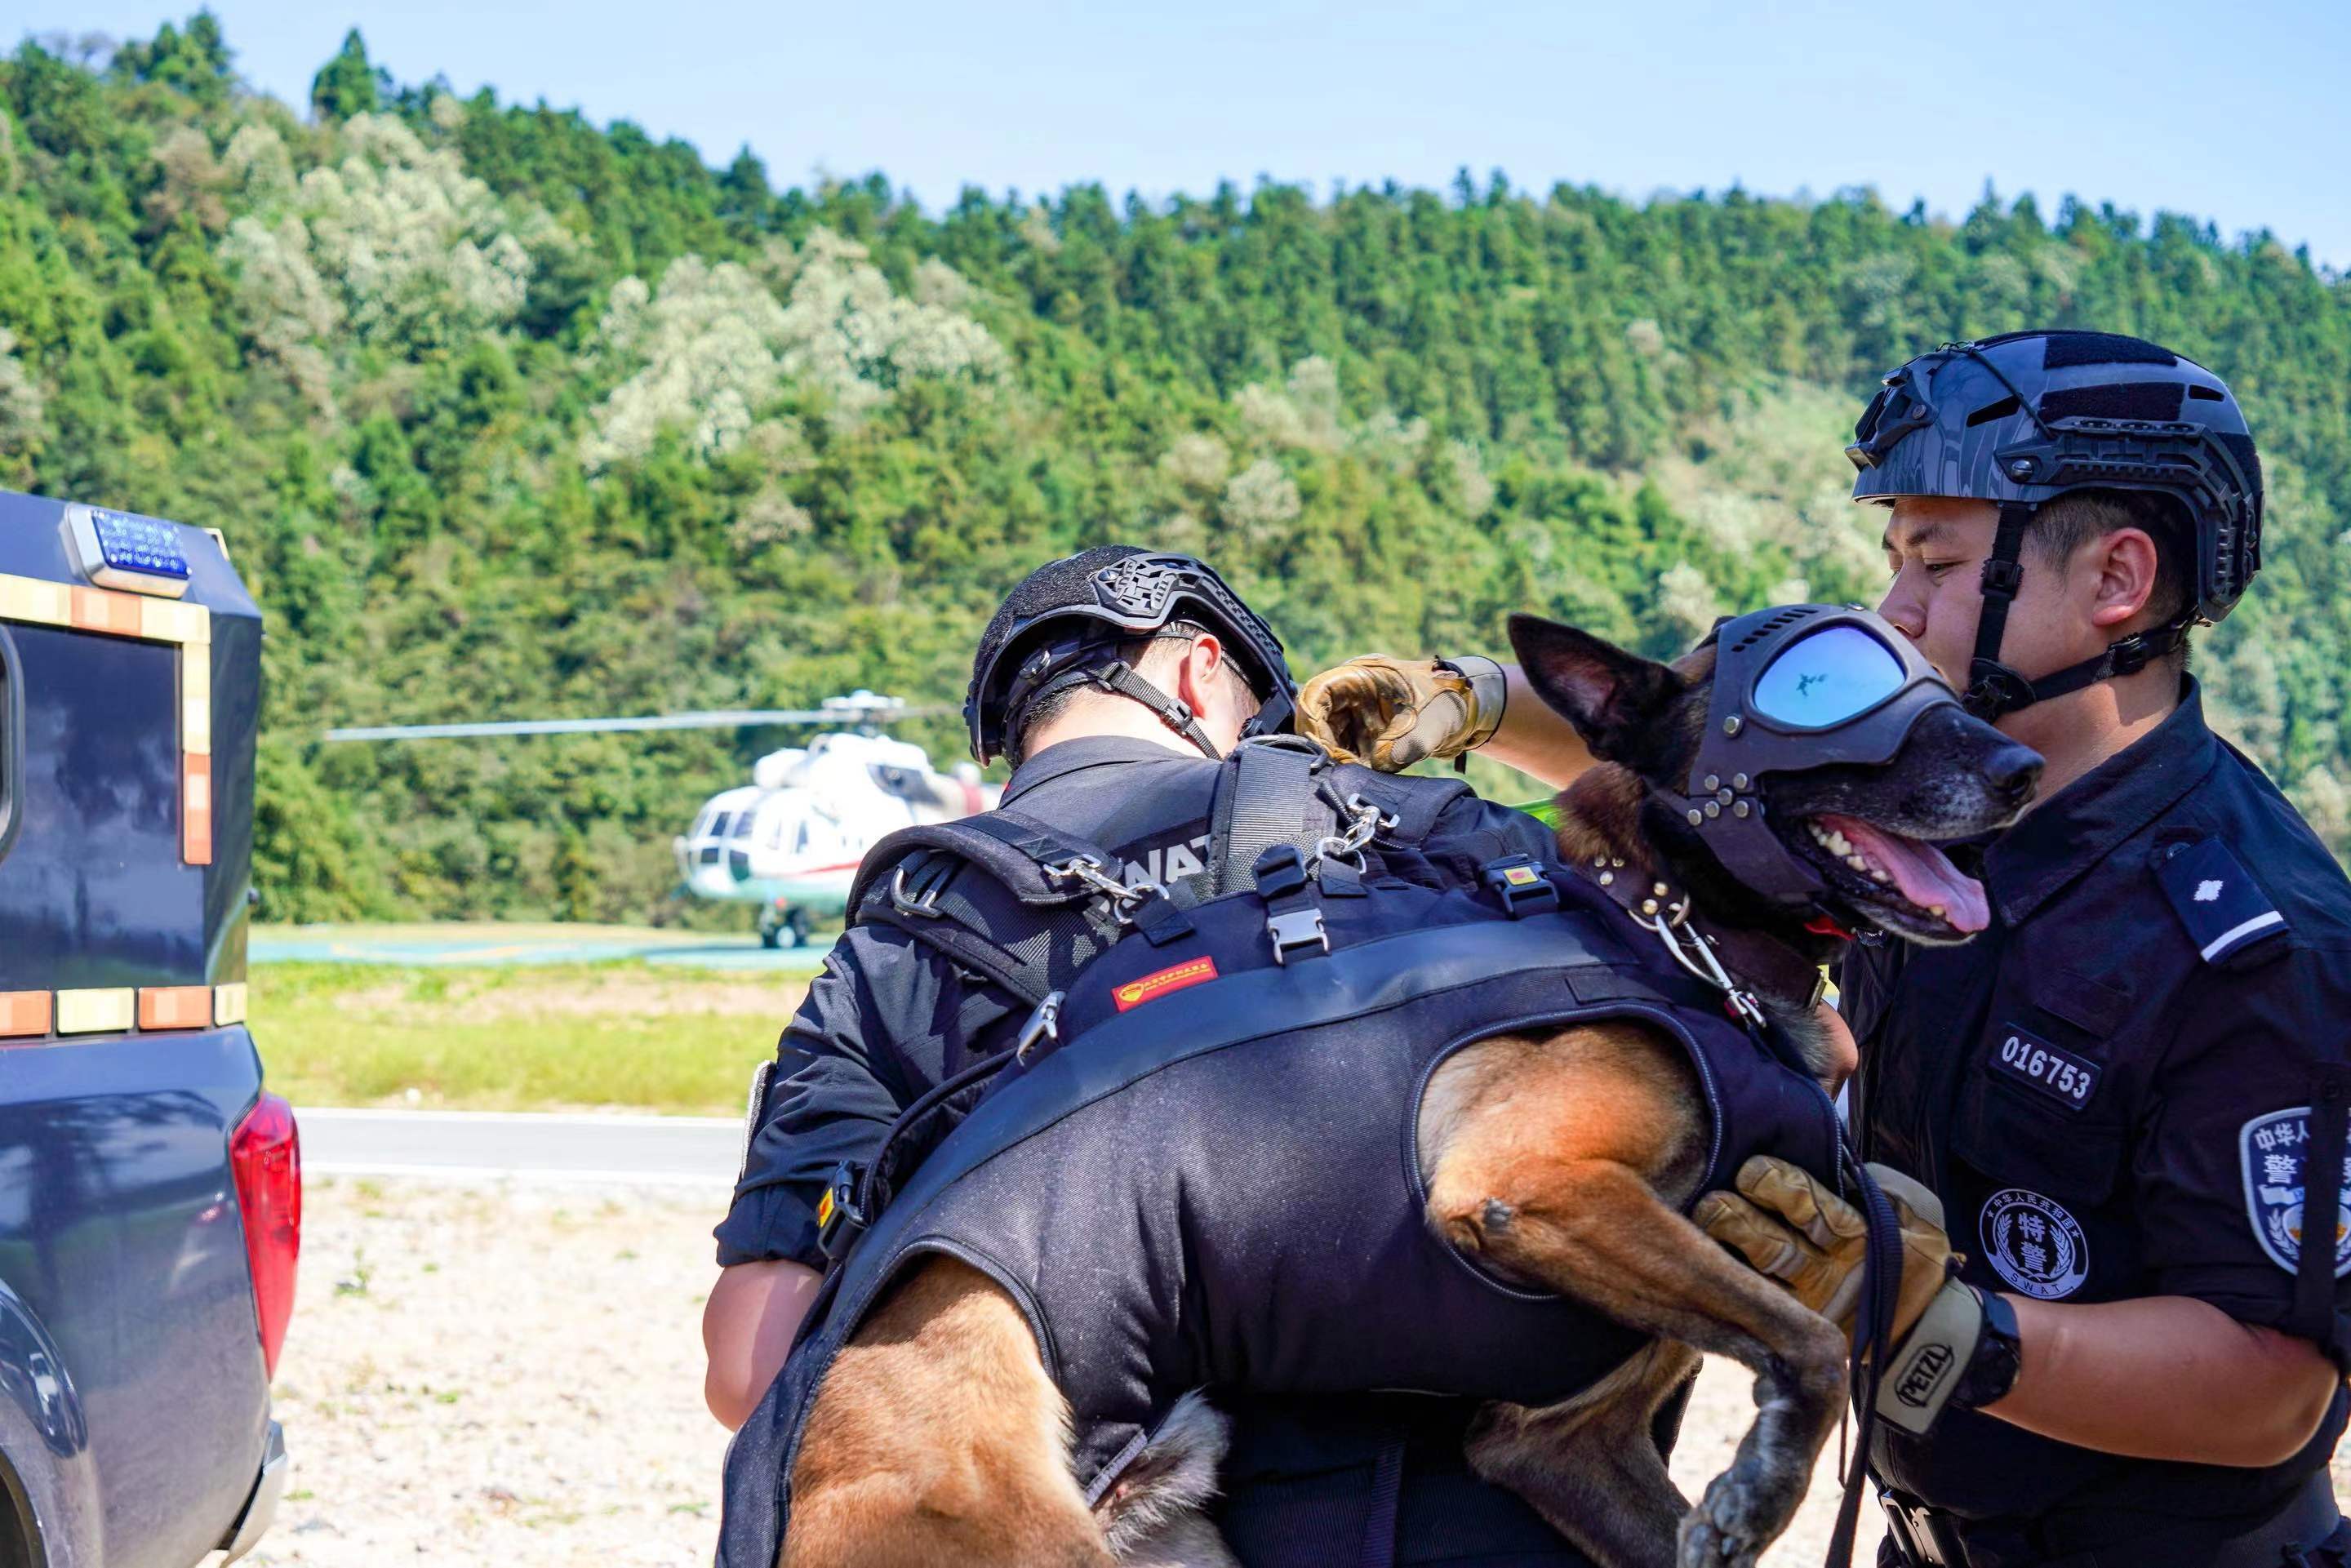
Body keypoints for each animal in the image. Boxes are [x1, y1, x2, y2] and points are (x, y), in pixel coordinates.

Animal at [776, 611, 2040, 1568]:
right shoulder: (1529, 1183)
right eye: (1822, 688)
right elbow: (1816, 1344)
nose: (2022, 768)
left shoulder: (1554, 1440)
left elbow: (1873, 1264)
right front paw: (1767, 1482)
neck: (1664, 925)